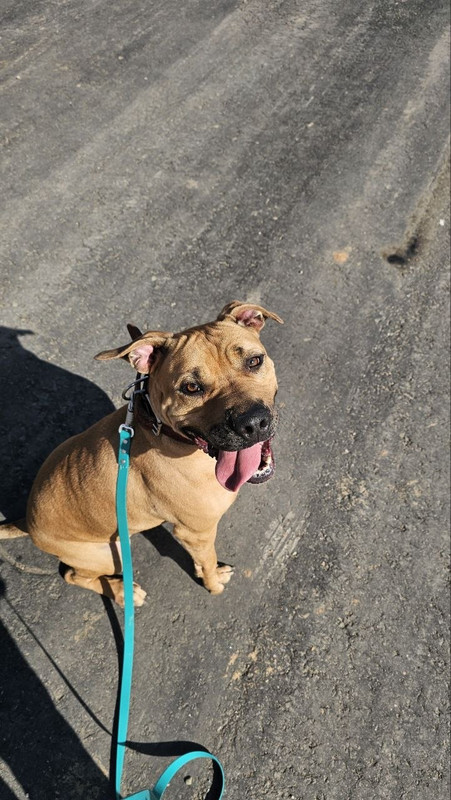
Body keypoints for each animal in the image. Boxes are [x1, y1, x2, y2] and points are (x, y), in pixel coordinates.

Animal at [0, 302, 282, 606]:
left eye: (254, 361)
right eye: (191, 388)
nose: (252, 423)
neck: (167, 433)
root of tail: (28, 520)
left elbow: (202, 559)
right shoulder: (196, 532)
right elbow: (208, 562)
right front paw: (213, 584)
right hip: (109, 554)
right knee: (74, 575)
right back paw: (124, 593)